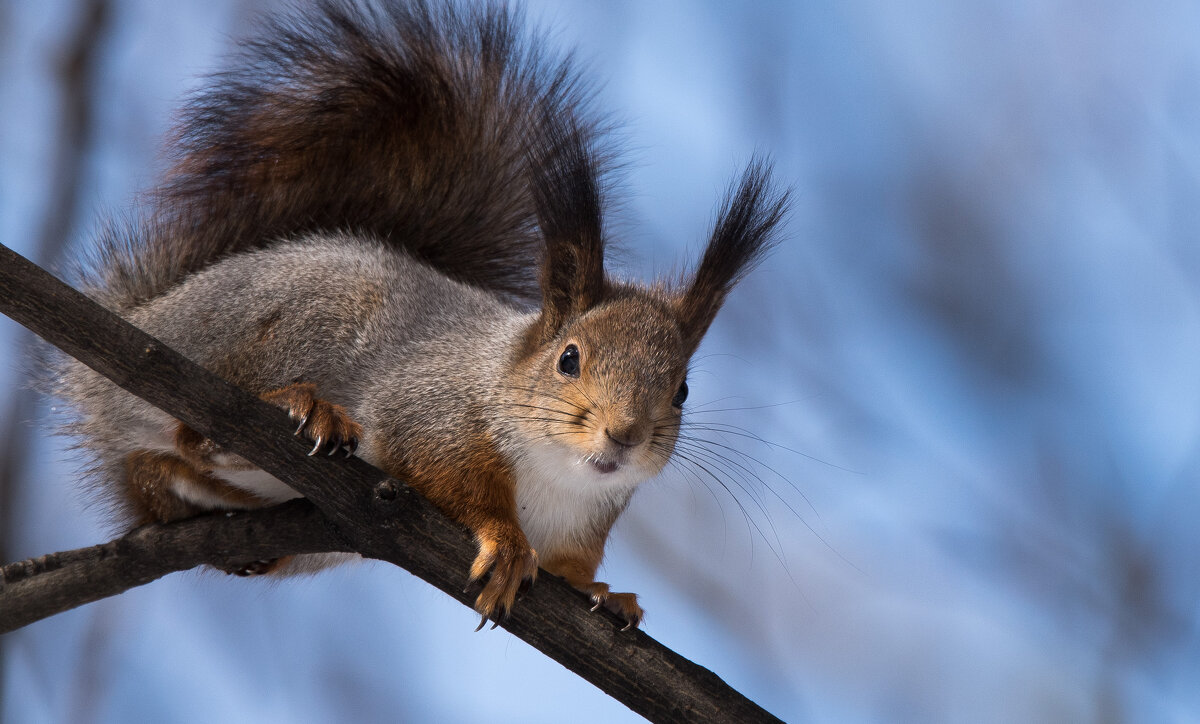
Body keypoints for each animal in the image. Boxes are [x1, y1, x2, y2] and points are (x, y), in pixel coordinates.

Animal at [58, 0, 787, 633]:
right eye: (569, 359)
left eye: (682, 389)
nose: (625, 435)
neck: (558, 478)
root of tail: (149, 317)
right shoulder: (432, 410)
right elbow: (446, 472)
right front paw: (505, 541)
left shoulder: (584, 526)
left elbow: (572, 568)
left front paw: (605, 592)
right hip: (273, 324)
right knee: (193, 428)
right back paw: (293, 410)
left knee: (154, 477)